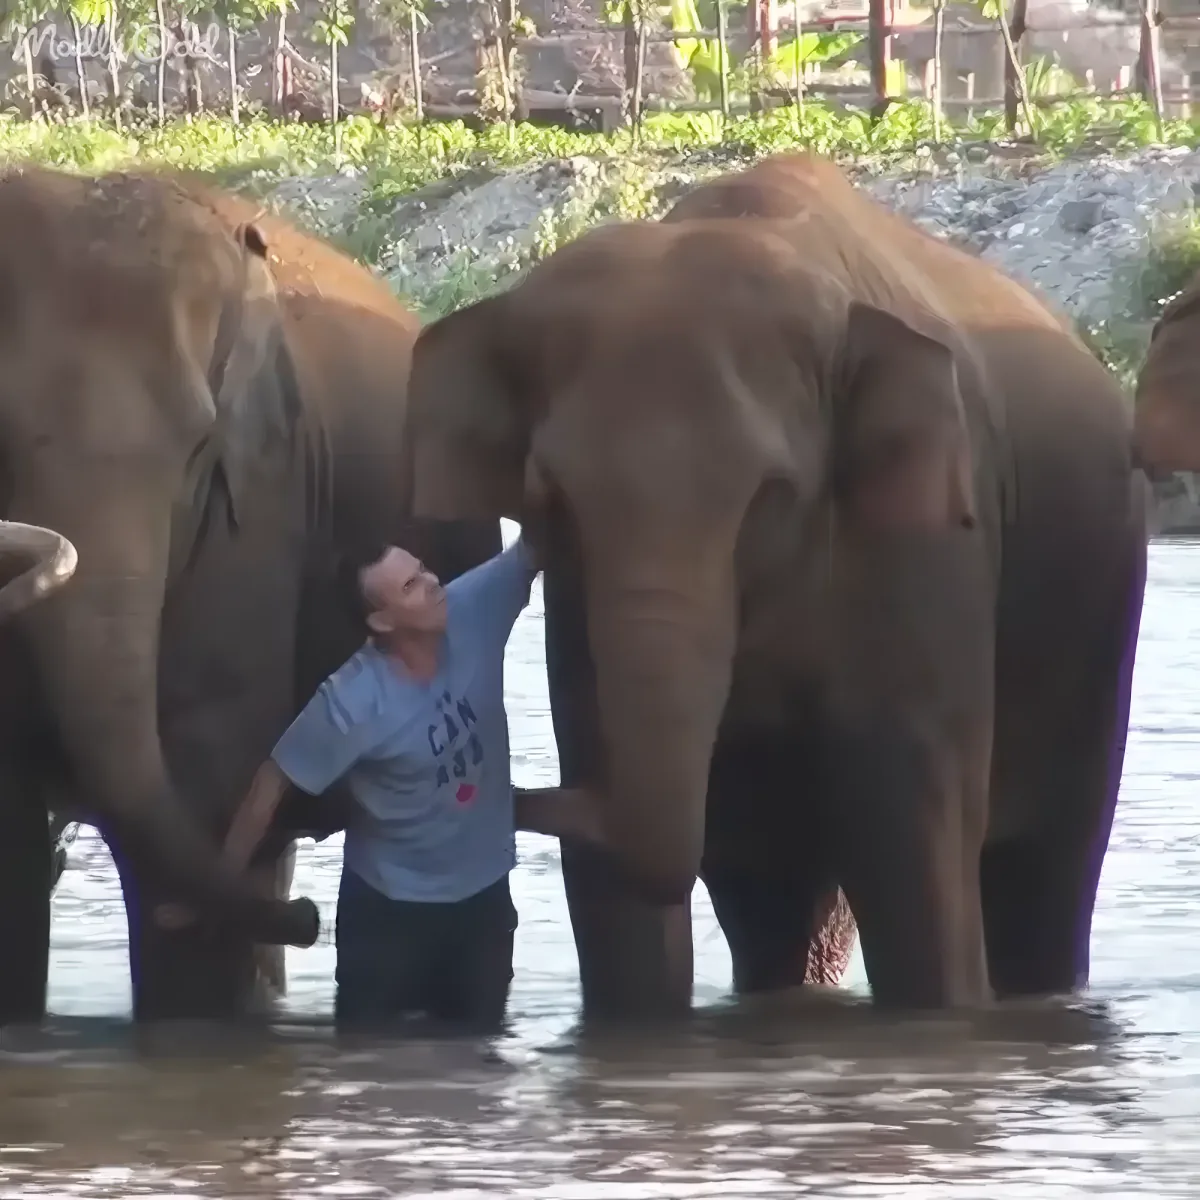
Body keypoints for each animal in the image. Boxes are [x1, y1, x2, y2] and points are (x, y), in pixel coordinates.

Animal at [399, 151, 1148, 1021]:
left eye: (770, 494)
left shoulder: (928, 554)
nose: (513, 794)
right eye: (551, 498)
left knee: (1044, 880)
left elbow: (911, 843)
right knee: (779, 905)